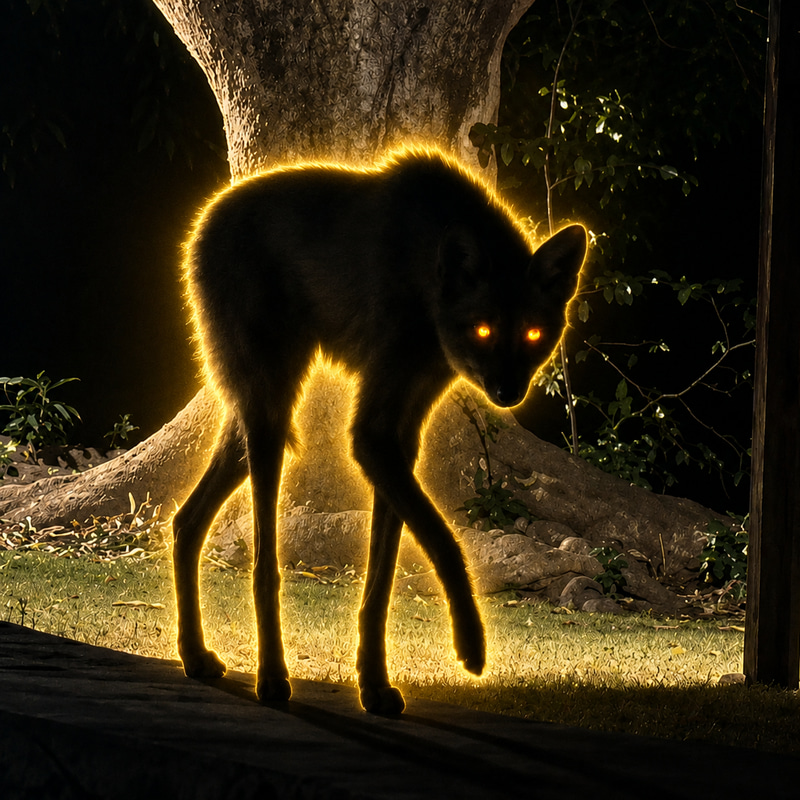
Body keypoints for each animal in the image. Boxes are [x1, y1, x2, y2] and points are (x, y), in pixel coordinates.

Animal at [173, 147, 586, 715]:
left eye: (532, 333)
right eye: (483, 330)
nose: (507, 391)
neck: (425, 277)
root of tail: (204, 217)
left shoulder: (398, 440)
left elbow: (381, 582)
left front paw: (372, 683)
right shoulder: (371, 436)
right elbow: (444, 541)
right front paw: (470, 642)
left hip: (252, 426)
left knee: (185, 523)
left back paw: (195, 655)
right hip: (270, 421)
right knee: (263, 566)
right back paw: (271, 677)